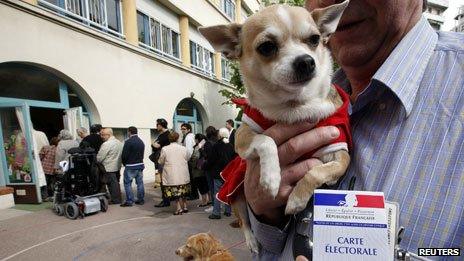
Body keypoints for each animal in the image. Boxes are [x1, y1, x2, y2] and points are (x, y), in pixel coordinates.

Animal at [198, 0, 348, 252]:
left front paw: (297, 198)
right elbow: (266, 140)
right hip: (237, 195)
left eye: (314, 39)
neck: (293, 107)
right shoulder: (242, 137)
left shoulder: (340, 154)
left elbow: (317, 171)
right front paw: (271, 178)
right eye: (267, 47)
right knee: (244, 220)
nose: (306, 61)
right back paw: (251, 241)